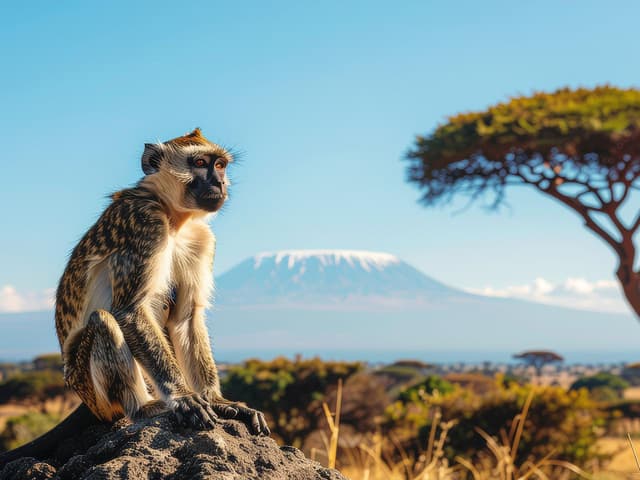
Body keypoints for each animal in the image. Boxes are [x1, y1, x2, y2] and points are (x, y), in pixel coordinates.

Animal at [0, 128, 269, 466]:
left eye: (220, 165)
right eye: (200, 163)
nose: (219, 183)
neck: (174, 217)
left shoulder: (202, 239)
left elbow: (186, 318)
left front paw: (218, 400)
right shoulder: (144, 223)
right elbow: (128, 310)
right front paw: (183, 398)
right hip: (90, 387)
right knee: (104, 320)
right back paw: (144, 407)